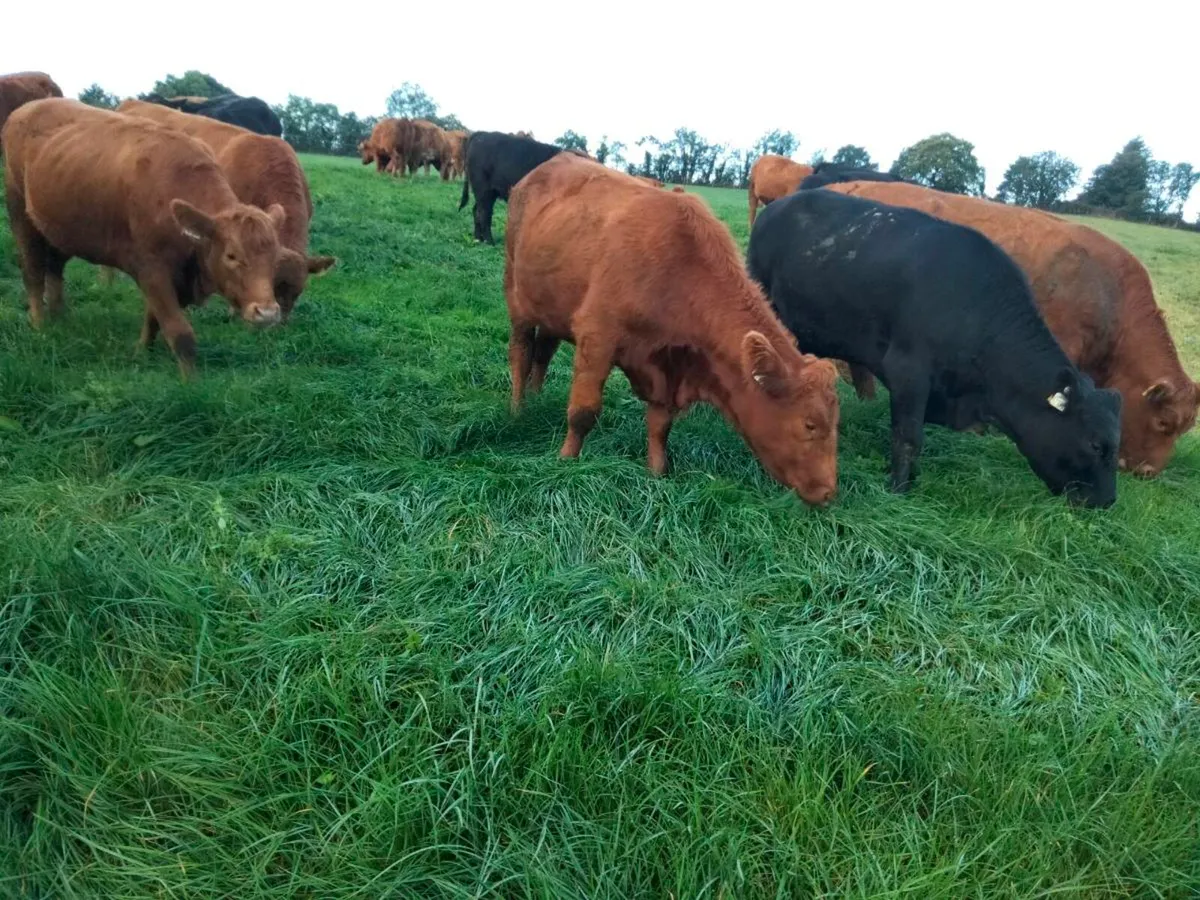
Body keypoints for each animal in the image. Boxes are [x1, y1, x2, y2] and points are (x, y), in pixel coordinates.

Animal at [4, 99, 288, 378]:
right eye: (231, 255)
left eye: (275, 258)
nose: (267, 313)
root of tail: (27, 108)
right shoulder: (152, 270)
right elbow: (179, 331)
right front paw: (190, 382)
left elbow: (153, 318)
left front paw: (142, 351)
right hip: (20, 214)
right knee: (33, 272)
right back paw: (40, 324)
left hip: (57, 227)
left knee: (54, 267)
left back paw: (59, 314)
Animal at [504, 153, 841, 505]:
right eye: (810, 424)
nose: (828, 492)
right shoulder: (597, 339)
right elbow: (583, 412)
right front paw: (566, 462)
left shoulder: (669, 365)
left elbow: (660, 425)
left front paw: (656, 474)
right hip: (517, 296)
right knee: (521, 354)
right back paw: (518, 409)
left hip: (551, 308)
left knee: (543, 352)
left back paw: (536, 395)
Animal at [747, 188, 1121, 507]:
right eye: (1095, 444)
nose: (1107, 502)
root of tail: (779, 206)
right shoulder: (908, 373)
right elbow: (909, 436)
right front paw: (899, 490)